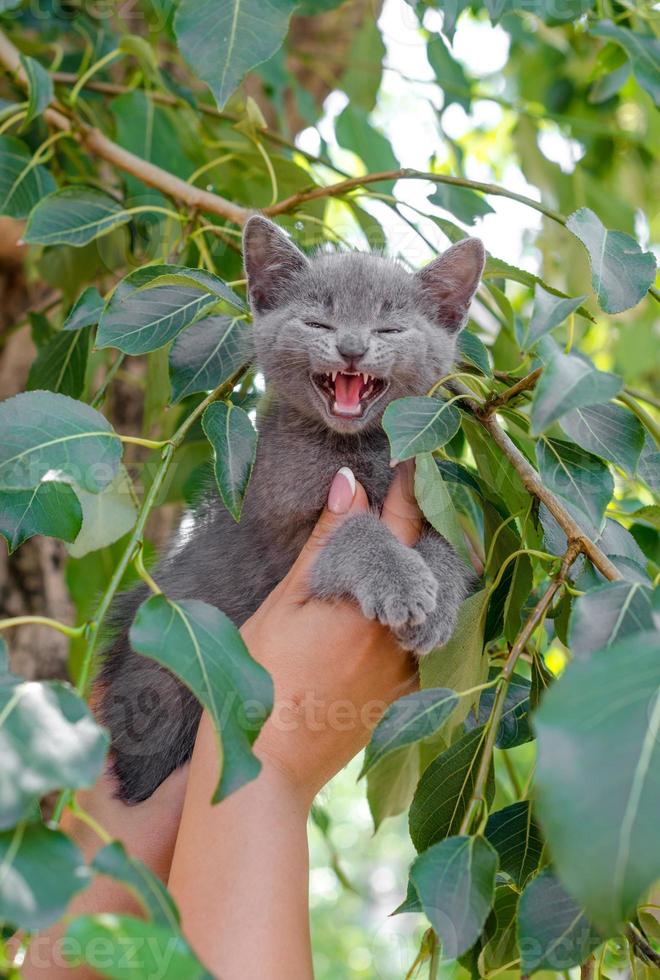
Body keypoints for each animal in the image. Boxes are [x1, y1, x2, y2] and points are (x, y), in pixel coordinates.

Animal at [99, 218, 484, 800]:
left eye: (389, 329)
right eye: (318, 321)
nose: (351, 346)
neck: (355, 449)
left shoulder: (425, 484)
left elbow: (447, 542)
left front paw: (438, 601)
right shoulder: (283, 529)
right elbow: (353, 533)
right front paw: (401, 581)